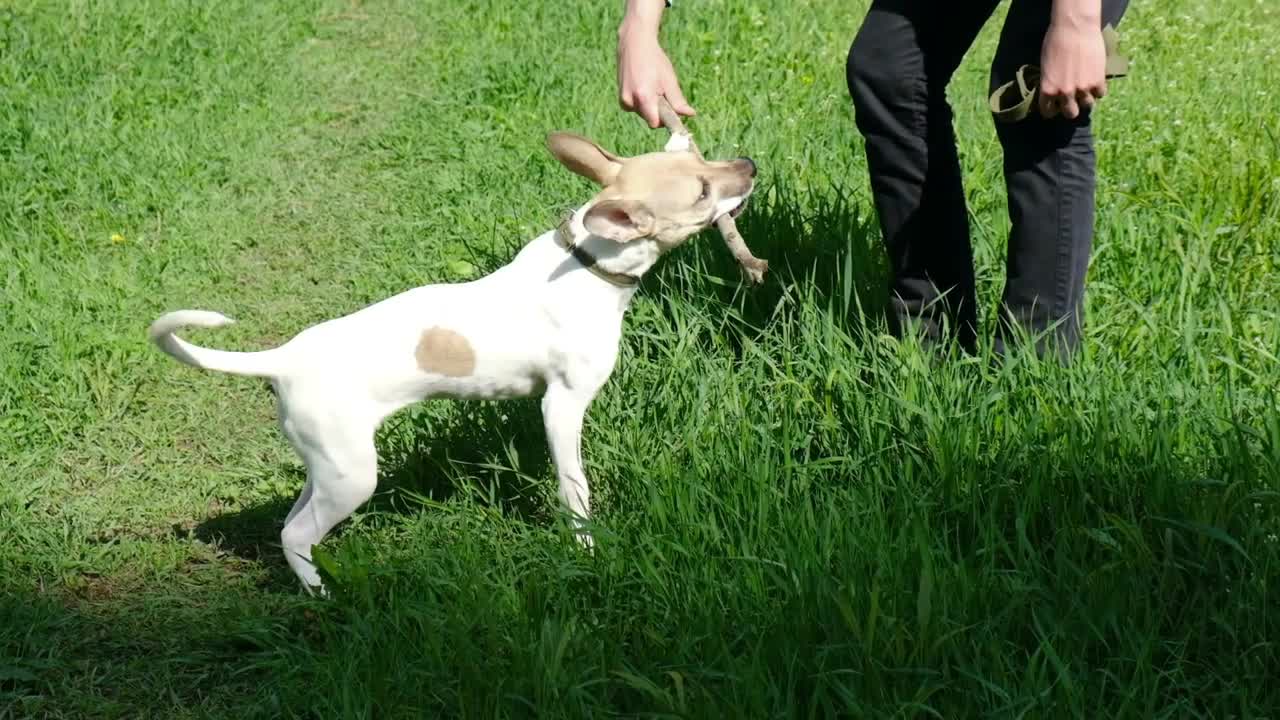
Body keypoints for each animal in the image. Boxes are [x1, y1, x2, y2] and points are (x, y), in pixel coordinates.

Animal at [149, 131, 752, 591]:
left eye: (696, 153)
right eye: (702, 191)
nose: (748, 165)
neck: (587, 260)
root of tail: (283, 359)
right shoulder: (562, 407)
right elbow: (573, 488)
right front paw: (586, 548)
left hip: (327, 464)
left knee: (293, 524)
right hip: (352, 475)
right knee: (295, 534)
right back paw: (324, 596)